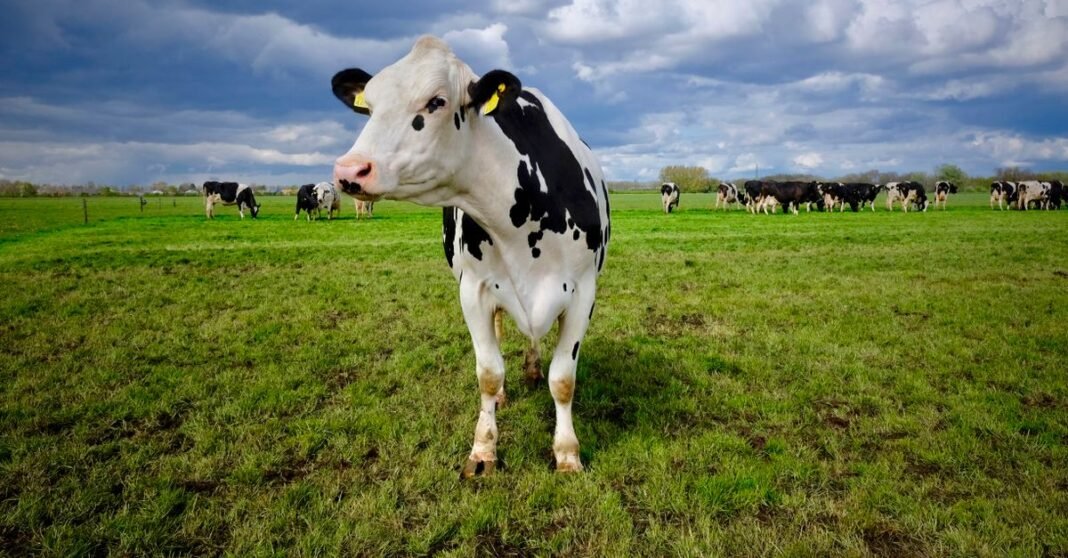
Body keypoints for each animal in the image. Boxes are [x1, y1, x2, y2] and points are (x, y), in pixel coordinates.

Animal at [330, 36, 610, 476]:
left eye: (437, 101)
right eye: (370, 106)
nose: (349, 171)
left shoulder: (583, 292)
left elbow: (563, 378)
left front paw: (567, 453)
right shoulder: (474, 291)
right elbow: (489, 373)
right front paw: (483, 451)